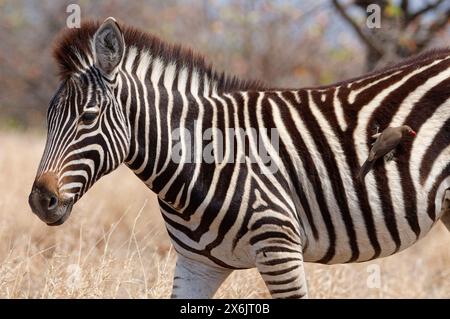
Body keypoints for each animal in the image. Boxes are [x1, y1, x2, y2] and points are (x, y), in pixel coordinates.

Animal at [29, 18, 450, 300]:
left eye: (88, 117)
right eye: (47, 119)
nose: (40, 201)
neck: (200, 159)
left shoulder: (279, 249)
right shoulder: (196, 264)